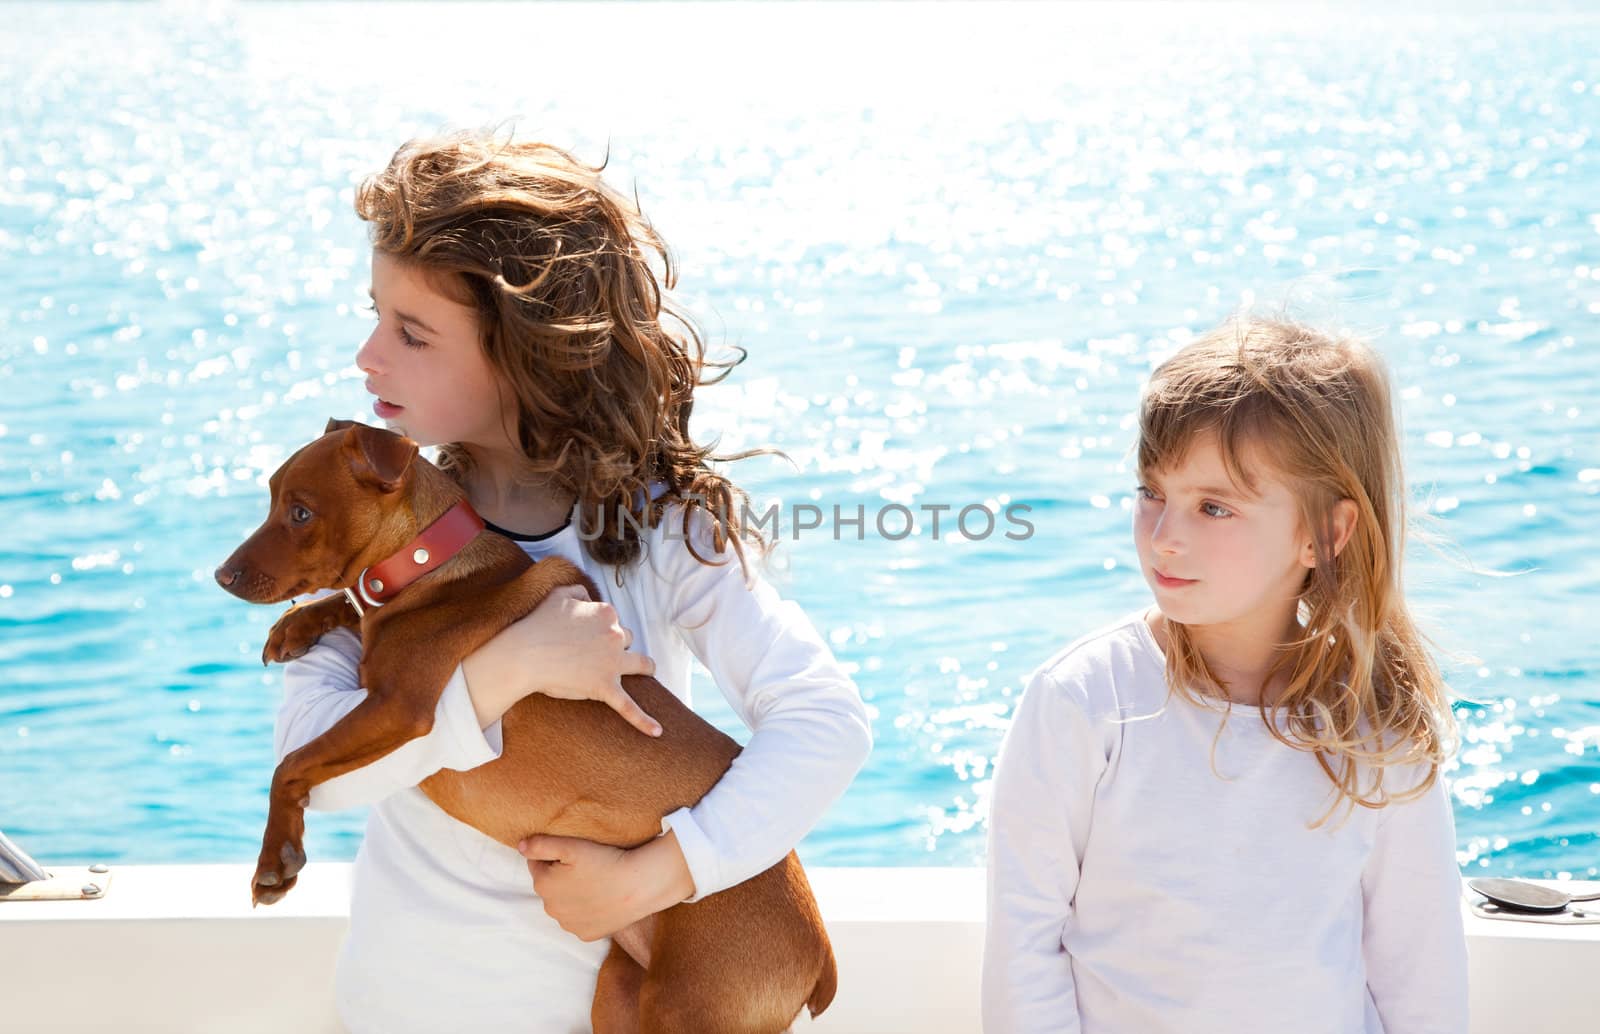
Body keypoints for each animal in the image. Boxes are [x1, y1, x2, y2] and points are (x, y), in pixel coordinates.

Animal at [216, 422, 838, 1034]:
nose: (221, 576)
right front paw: (297, 624)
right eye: (272, 501)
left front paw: (275, 859)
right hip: (618, 994)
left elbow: (290, 764)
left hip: (685, 1008)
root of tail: (823, 958)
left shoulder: (400, 707)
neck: (426, 565)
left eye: (300, 513)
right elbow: (349, 608)